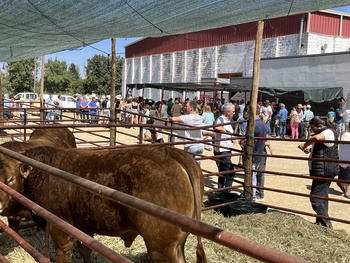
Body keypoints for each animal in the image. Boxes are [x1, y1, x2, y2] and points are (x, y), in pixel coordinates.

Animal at [13, 146, 206, 263]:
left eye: (11, 177)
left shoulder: (59, 228)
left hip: (162, 247)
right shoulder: (84, 226)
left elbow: (64, 253)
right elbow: (85, 249)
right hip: (178, 243)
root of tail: (173, 153)